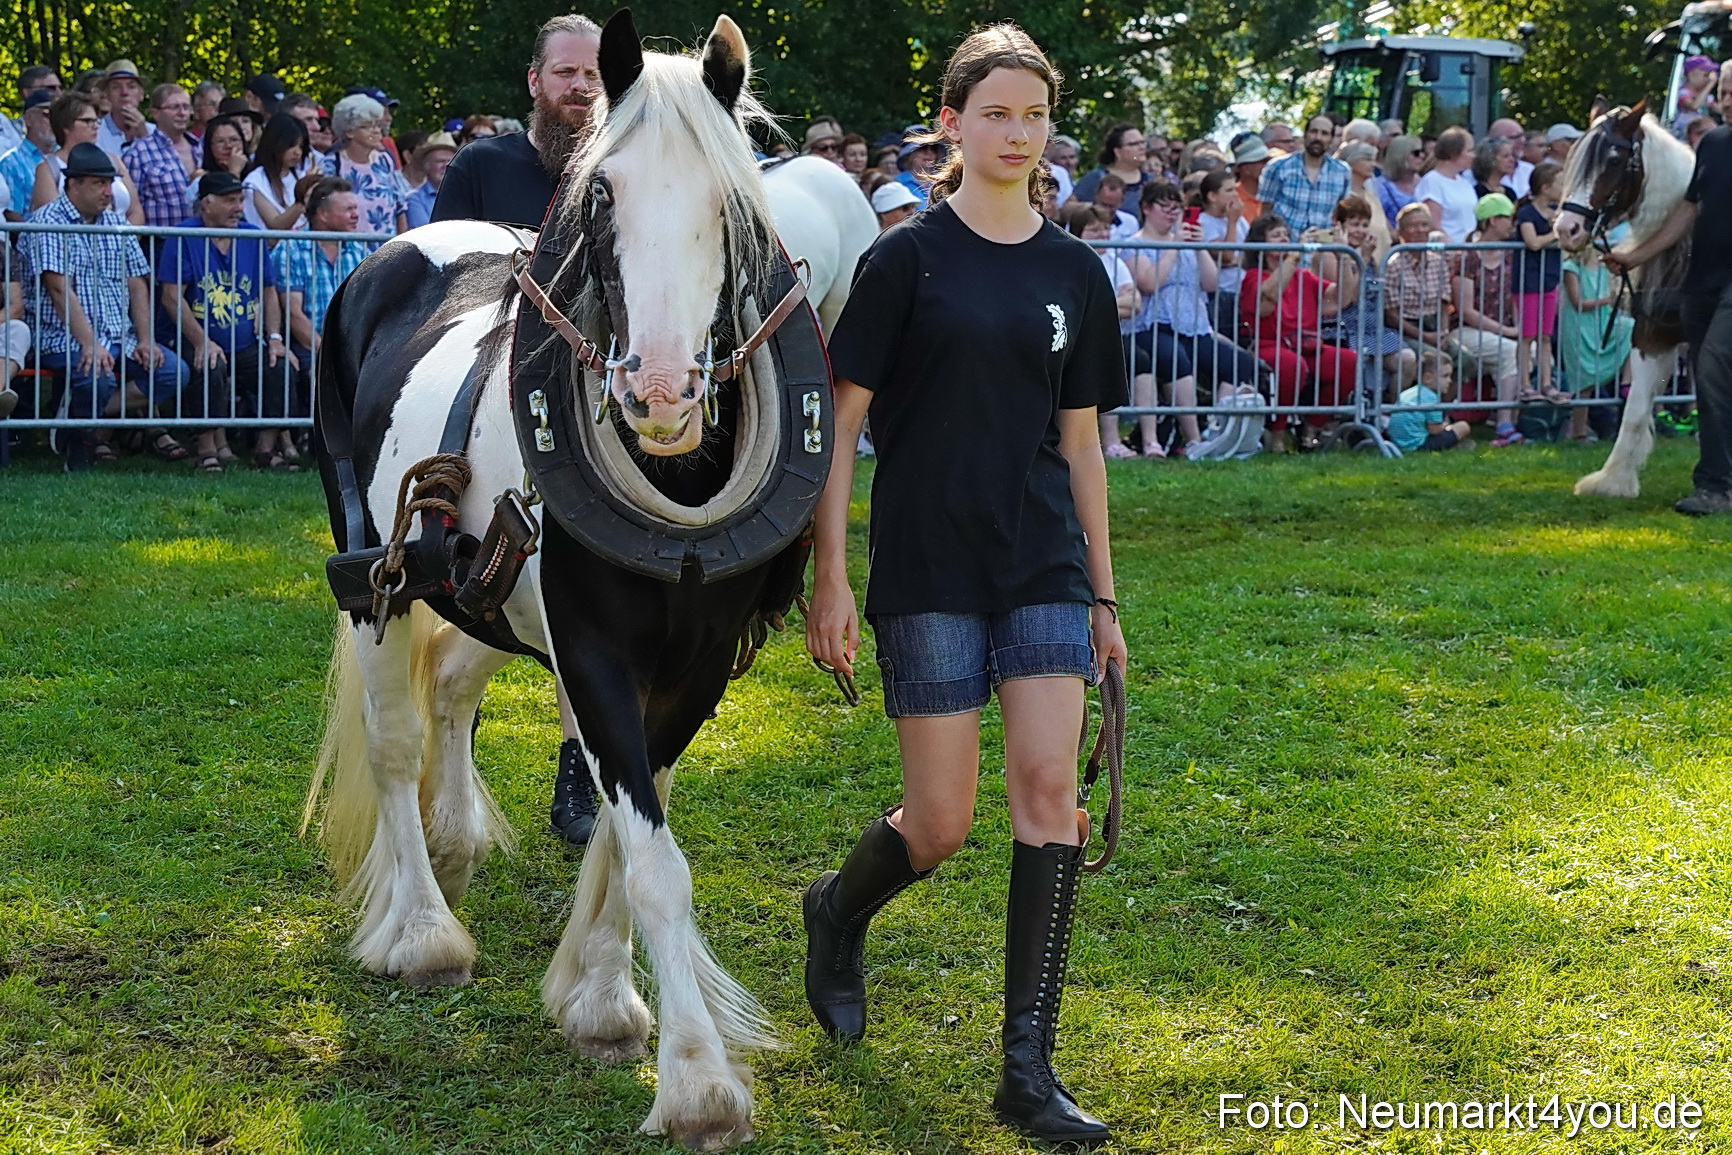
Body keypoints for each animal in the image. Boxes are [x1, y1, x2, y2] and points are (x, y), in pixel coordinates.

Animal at [303, 10, 873, 1148]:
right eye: (602, 196)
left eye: (732, 202)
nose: (656, 390)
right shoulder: (595, 649)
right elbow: (653, 859)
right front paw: (696, 1082)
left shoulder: (693, 667)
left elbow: (627, 826)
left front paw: (601, 999)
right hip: (377, 579)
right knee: (392, 742)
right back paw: (421, 929)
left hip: (475, 592)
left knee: (452, 691)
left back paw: (456, 837)